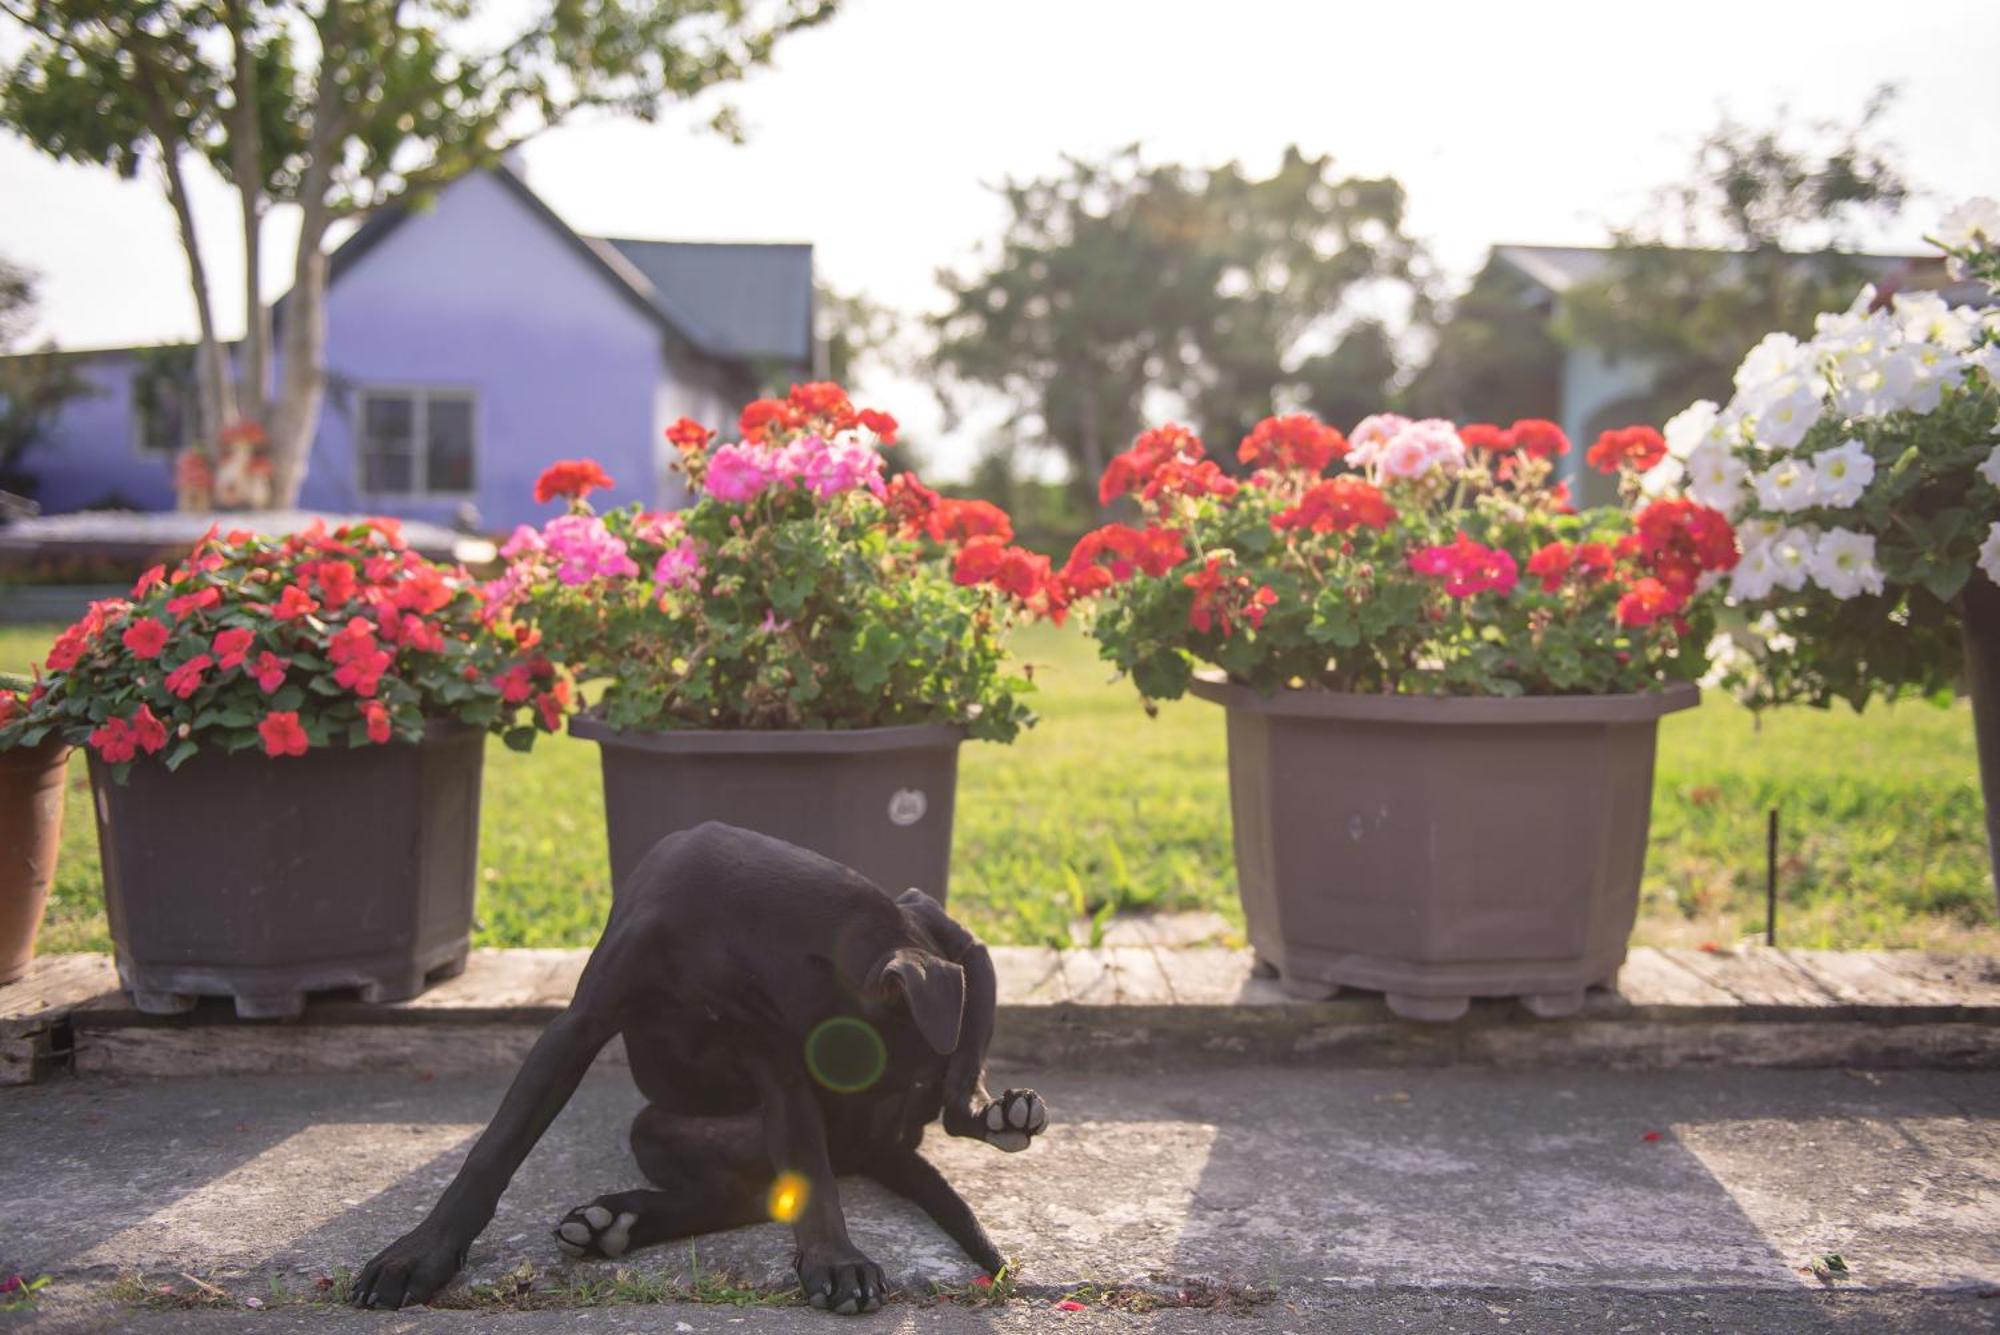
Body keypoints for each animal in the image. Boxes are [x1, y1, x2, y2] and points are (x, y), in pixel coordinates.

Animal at [356, 823, 1048, 1311]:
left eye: (913, 1089)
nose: (874, 1135)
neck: (733, 929)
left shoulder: (778, 1061)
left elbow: (809, 1168)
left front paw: (833, 1258)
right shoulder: (577, 1027)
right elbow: (495, 1147)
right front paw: (419, 1255)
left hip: (969, 964)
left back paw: (999, 1116)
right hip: (659, 1129)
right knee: (744, 1190)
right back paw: (618, 1223)